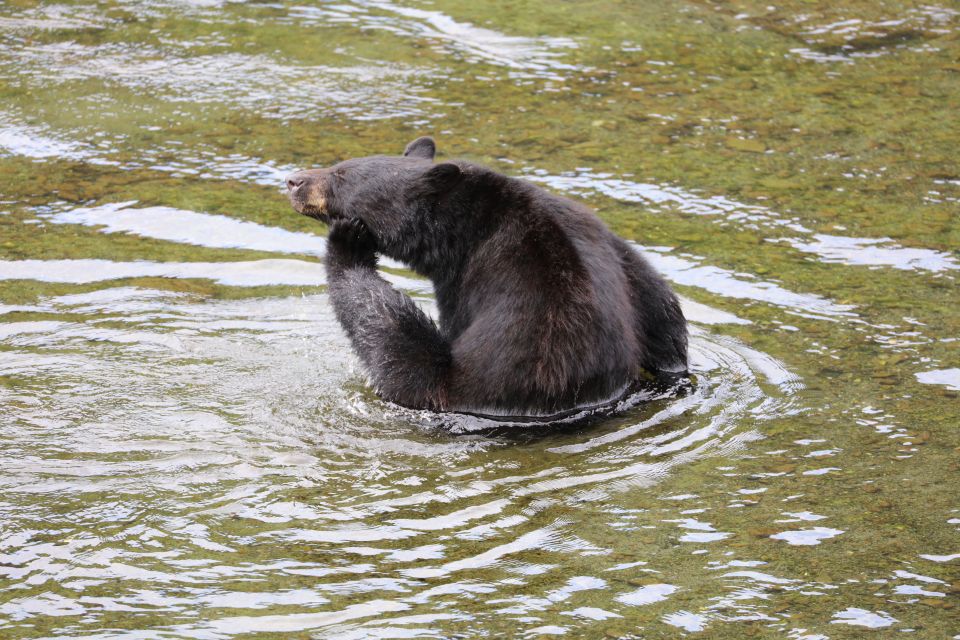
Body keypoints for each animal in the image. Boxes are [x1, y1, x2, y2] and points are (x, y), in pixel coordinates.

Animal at [282, 137, 688, 418]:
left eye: (342, 174)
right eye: (340, 164)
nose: (292, 180)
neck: (465, 232)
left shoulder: (480, 292)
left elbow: (417, 369)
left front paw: (349, 238)